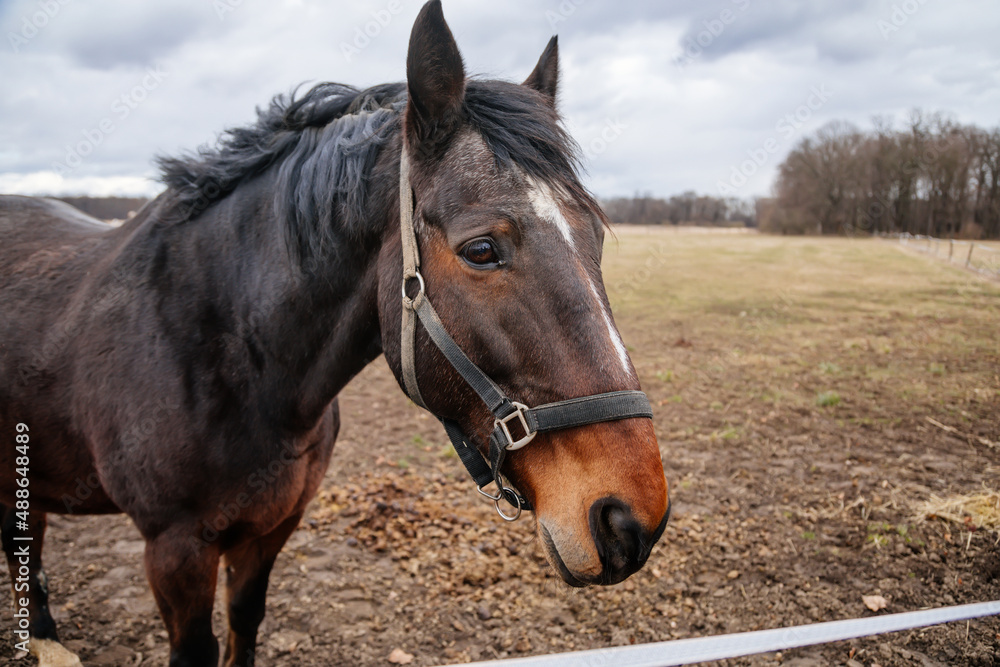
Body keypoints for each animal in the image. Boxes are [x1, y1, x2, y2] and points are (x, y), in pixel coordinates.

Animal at [0, 2, 670, 665]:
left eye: (596, 238)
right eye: (481, 249)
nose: (633, 519)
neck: (225, 356)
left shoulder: (271, 530)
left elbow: (244, 621)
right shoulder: (175, 552)